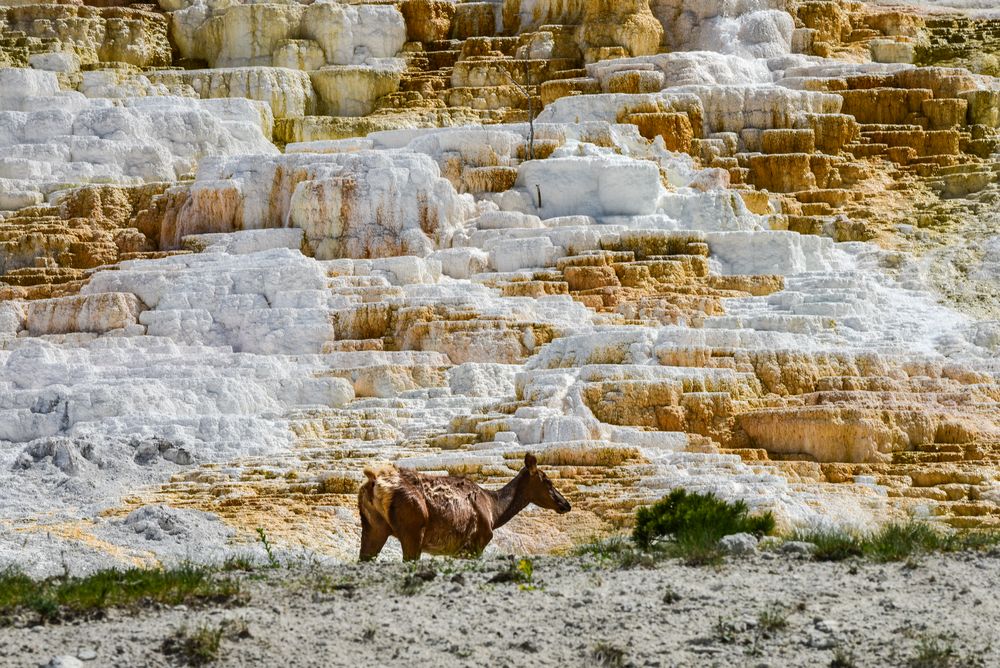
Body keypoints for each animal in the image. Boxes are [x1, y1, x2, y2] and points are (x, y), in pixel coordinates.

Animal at [362, 452, 576, 560]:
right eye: (547, 481)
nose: (566, 504)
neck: (494, 510)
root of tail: (375, 482)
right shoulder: (478, 541)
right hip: (413, 530)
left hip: (373, 528)